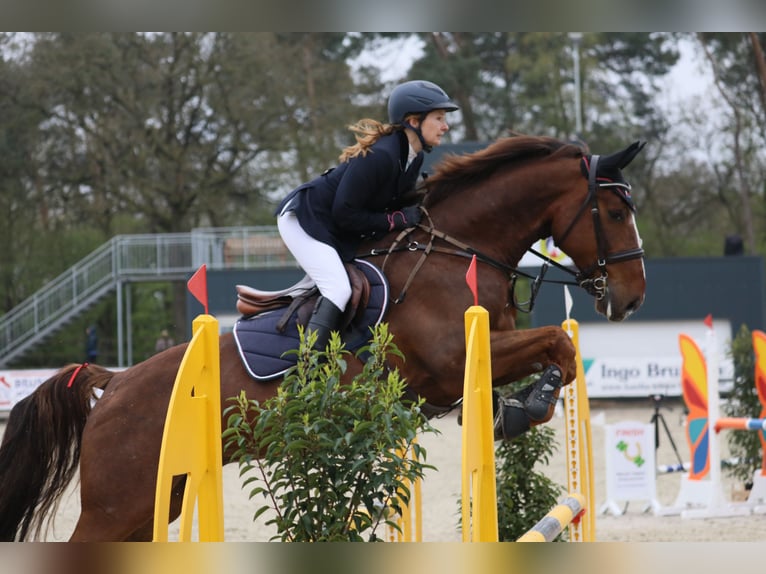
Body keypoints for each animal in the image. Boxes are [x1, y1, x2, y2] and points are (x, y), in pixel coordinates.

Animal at [0, 135, 647, 541]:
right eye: (615, 214)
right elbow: (559, 346)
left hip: (160, 499)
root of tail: (112, 385)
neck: (457, 252)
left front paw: (513, 410)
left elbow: (555, 354)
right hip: (117, 503)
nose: (632, 298)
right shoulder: (452, 360)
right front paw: (528, 406)